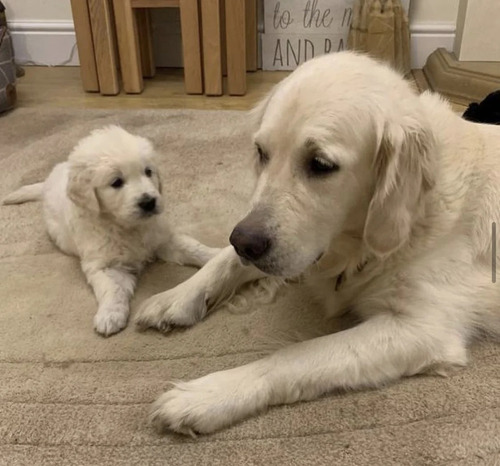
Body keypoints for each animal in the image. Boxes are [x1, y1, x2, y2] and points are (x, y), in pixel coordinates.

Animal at [2, 124, 220, 334]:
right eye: (116, 182)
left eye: (148, 171)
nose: (149, 202)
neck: (125, 226)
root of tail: (48, 181)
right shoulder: (105, 265)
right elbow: (113, 289)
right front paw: (110, 316)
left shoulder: (163, 239)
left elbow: (193, 248)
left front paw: (216, 255)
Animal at [139, 52, 500, 436]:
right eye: (261, 152)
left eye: (321, 164)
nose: (245, 242)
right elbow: (223, 259)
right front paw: (175, 296)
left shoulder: (423, 328)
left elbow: (295, 354)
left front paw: (210, 394)